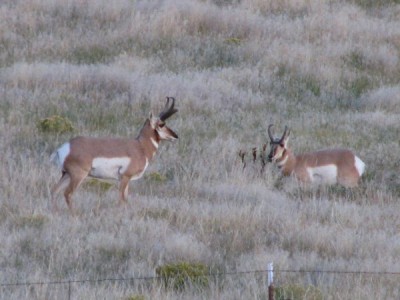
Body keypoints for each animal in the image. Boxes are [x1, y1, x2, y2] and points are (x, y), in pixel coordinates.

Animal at [50, 97, 178, 210]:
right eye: (161, 124)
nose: (175, 136)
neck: (140, 146)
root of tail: (66, 147)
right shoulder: (125, 177)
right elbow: (121, 200)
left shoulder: (126, 180)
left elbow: (126, 199)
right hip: (78, 175)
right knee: (67, 193)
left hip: (66, 174)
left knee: (54, 191)